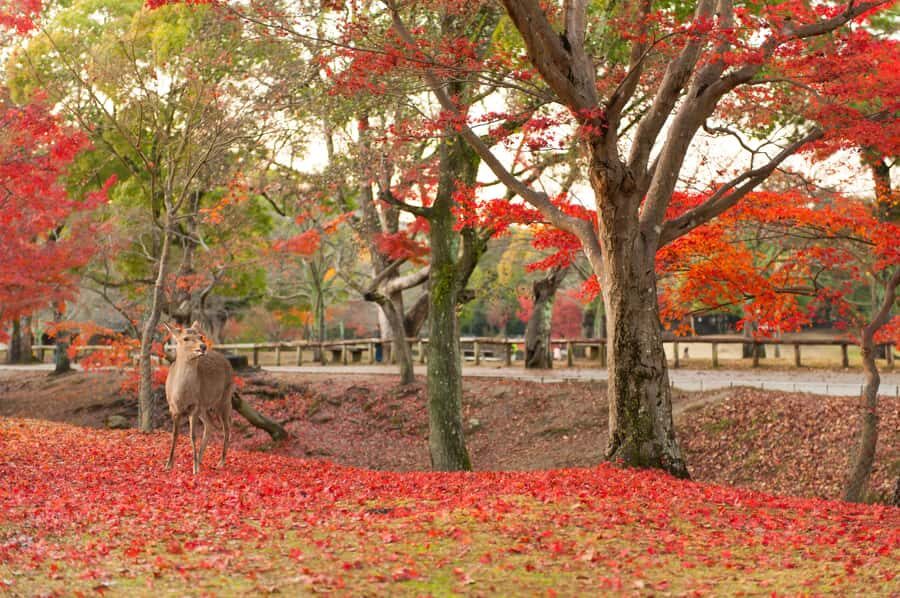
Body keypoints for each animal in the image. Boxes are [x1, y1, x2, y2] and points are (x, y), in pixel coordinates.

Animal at [162, 321, 233, 474]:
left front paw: (194, 469)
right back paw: (200, 460)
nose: (203, 346)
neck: (181, 395)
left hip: (224, 399)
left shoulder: (194, 406)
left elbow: (192, 435)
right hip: (204, 407)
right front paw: (168, 465)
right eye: (185, 338)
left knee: (227, 428)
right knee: (210, 425)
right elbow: (174, 434)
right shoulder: (173, 408)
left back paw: (220, 462)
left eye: (201, 336)